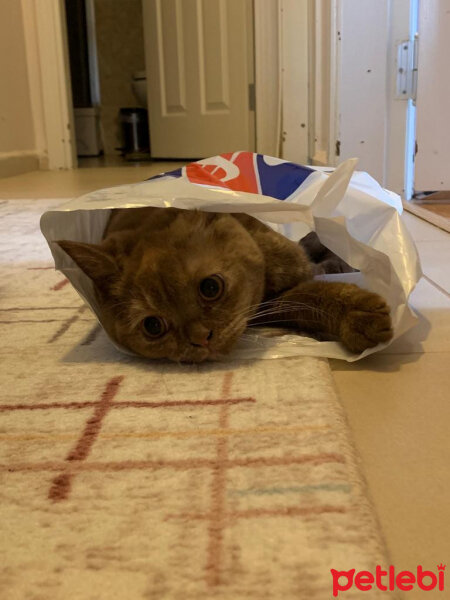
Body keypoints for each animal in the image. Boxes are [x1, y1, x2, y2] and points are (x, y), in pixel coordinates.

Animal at [56, 207, 392, 360]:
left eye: (210, 288)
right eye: (153, 326)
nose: (201, 339)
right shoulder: (273, 305)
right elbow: (309, 298)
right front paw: (359, 316)